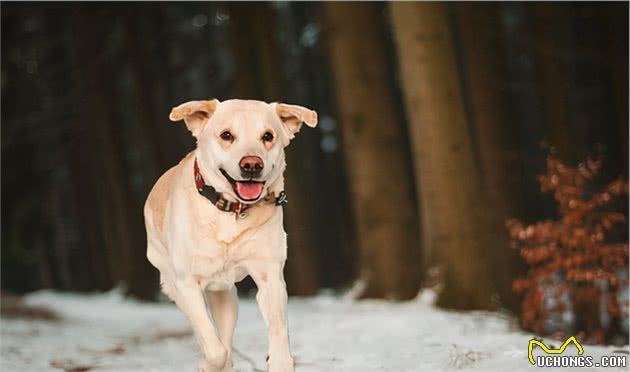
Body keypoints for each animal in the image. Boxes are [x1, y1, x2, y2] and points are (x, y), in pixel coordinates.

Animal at [146, 99, 318, 372]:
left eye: (267, 136)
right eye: (227, 135)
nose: (252, 165)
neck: (230, 211)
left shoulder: (271, 279)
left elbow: (278, 333)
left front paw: (278, 360)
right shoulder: (187, 284)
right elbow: (213, 347)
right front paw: (207, 363)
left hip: (226, 297)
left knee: (225, 335)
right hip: (171, 281)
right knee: (210, 336)